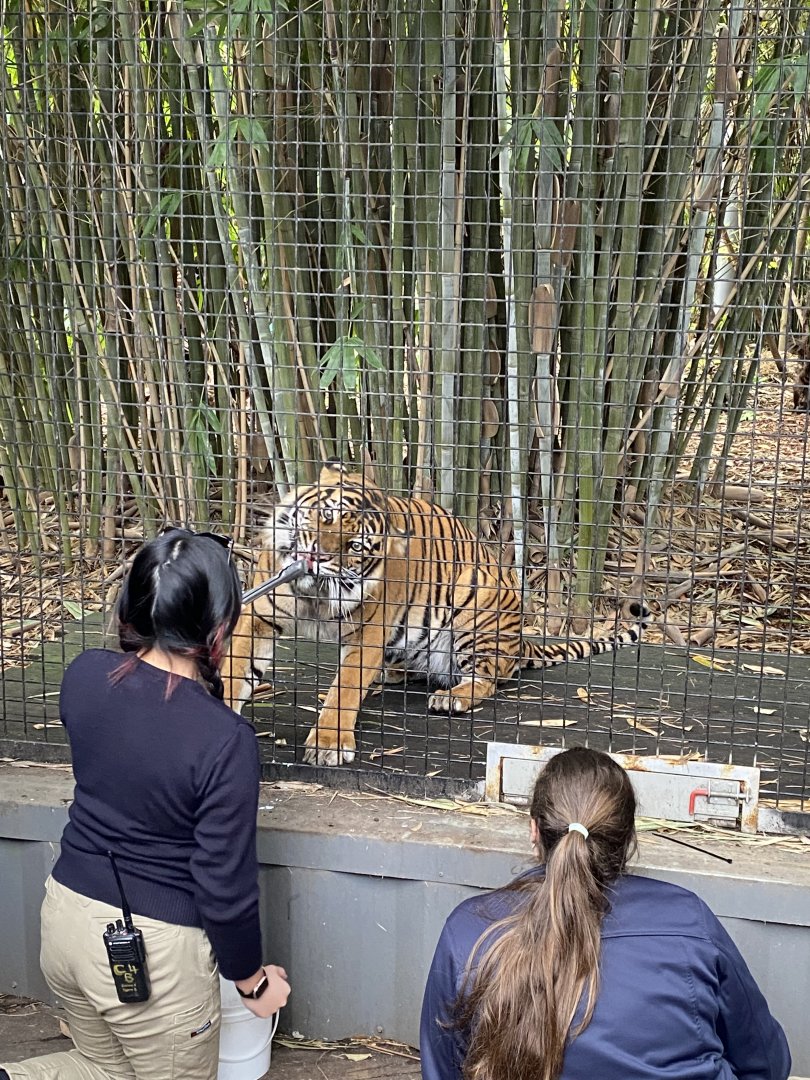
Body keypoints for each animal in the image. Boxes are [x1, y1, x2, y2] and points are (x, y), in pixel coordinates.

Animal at [222, 460, 651, 767]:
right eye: (326, 517)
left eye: (355, 545)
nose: (316, 557)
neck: (317, 594)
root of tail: (521, 641)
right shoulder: (258, 616)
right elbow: (235, 669)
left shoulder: (369, 632)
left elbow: (344, 689)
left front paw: (329, 743)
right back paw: (395, 673)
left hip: (475, 611)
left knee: (489, 679)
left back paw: (452, 697)